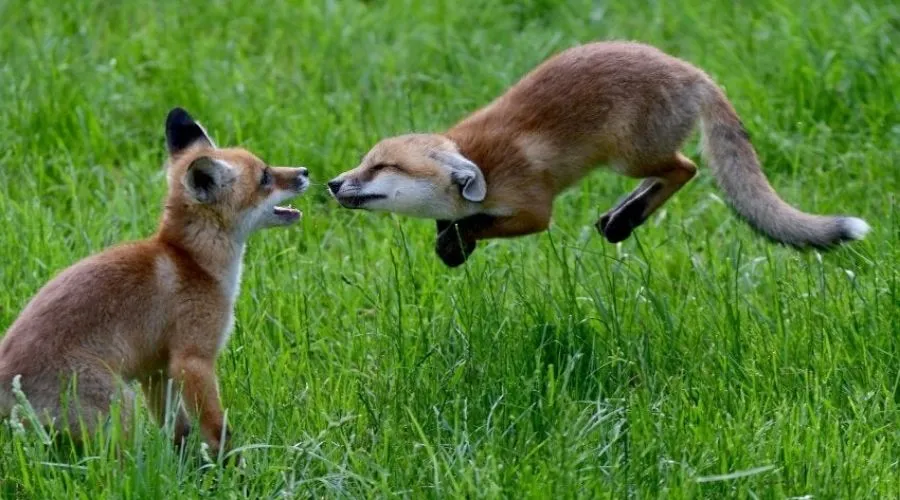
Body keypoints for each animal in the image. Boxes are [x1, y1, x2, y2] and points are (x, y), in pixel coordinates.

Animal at [0, 107, 310, 456]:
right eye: (265, 178)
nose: (305, 171)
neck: (193, 262)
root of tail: (5, 378)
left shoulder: (156, 370)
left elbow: (178, 431)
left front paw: (184, 463)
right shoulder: (192, 360)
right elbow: (218, 431)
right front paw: (230, 465)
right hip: (121, 410)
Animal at [326, 41, 868, 268]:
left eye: (384, 167)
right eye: (365, 160)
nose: (332, 183)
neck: (482, 164)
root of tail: (692, 70)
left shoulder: (533, 209)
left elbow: (479, 223)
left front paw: (459, 240)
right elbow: (454, 226)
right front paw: (451, 247)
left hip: (631, 156)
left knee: (686, 168)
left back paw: (626, 219)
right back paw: (621, 217)